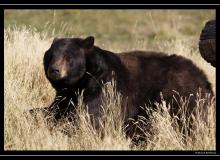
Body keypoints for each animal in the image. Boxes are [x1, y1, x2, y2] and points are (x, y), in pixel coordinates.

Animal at [29, 36, 213, 141]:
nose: (54, 70)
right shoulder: (66, 94)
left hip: (180, 95)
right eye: (51, 55)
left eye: (68, 57)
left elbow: (92, 117)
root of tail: (204, 78)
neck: (80, 82)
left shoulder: (106, 87)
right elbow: (54, 109)